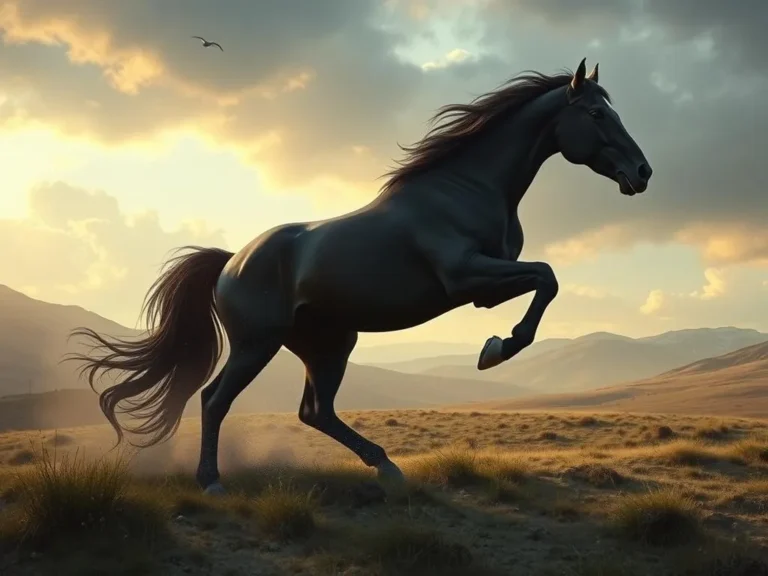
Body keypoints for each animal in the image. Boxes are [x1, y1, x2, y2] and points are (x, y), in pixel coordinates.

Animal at [68, 58, 652, 495]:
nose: (643, 172)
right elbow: (547, 278)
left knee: (315, 411)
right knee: (216, 399)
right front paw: (496, 349)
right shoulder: (467, 278)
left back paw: (387, 467)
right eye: (597, 114)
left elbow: (544, 281)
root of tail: (232, 260)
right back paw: (211, 481)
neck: (466, 189)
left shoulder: (483, 284)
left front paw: (496, 346)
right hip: (258, 343)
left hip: (329, 342)